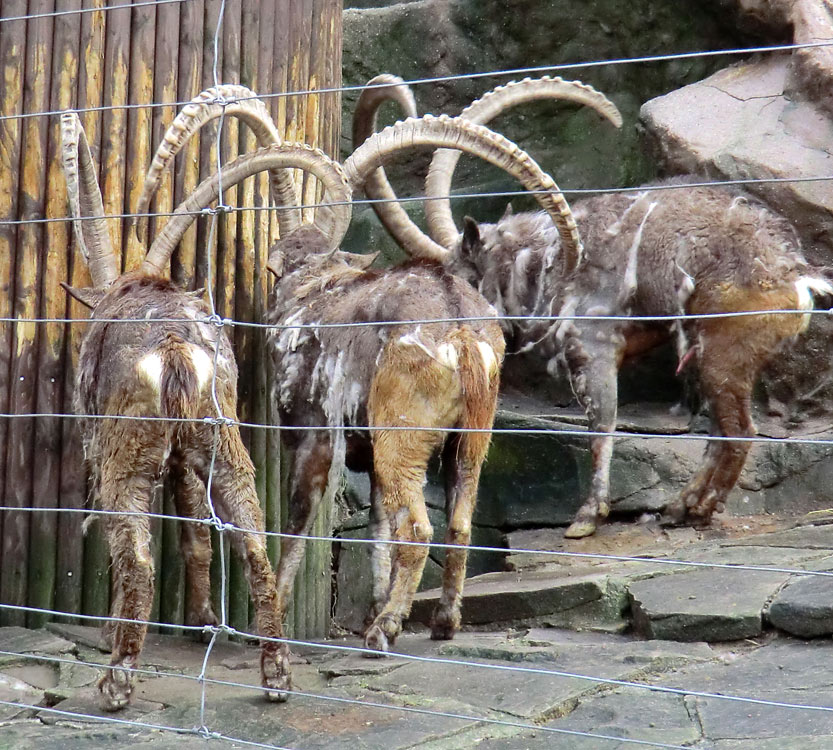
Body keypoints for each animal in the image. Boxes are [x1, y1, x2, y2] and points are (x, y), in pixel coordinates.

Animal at [60, 104, 284, 712]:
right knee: (253, 542)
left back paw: (116, 681)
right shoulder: (185, 460)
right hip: (224, 441)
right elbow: (196, 536)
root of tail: (174, 347)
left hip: (128, 452)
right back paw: (275, 676)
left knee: (134, 556)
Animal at [141, 100, 584, 700]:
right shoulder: (368, 454)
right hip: (470, 439)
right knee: (458, 521)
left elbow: (300, 520)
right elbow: (374, 529)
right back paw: (440, 624)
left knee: (419, 529)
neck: (315, 291)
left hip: (404, 434)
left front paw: (274, 621)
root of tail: (461, 329)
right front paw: (370, 605)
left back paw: (386, 632)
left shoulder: (313, 435)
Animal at [352, 75, 832, 540]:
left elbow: (601, 426)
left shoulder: (592, 346)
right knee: (721, 431)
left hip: (724, 352)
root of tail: (795, 270)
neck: (540, 260)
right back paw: (680, 509)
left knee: (737, 431)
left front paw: (586, 518)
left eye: (462, 275)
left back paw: (692, 510)